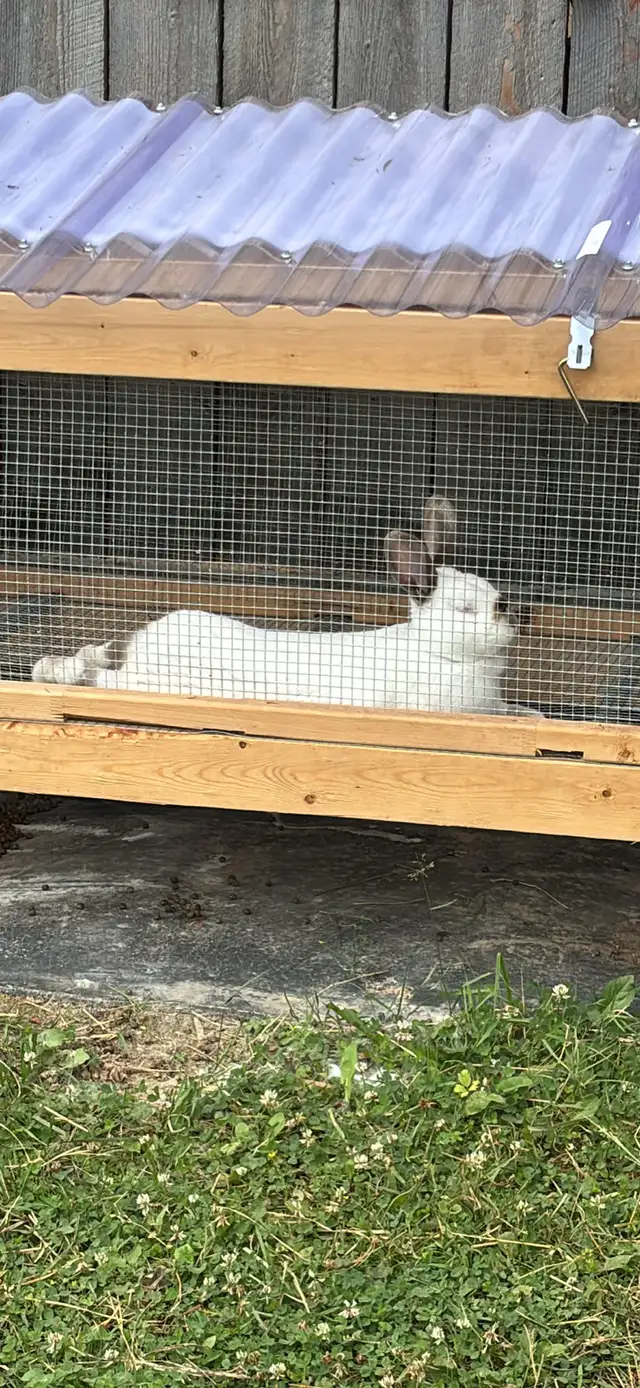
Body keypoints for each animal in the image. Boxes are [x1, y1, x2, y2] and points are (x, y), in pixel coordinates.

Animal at [31, 497, 543, 718]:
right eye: (465, 609)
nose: (514, 615)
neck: (438, 653)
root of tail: (140, 647)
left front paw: (533, 715)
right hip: (154, 684)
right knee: (96, 678)